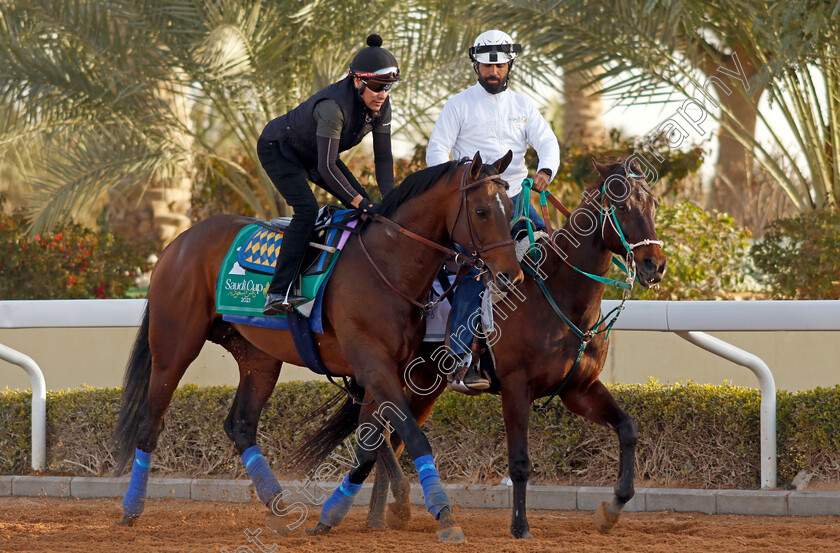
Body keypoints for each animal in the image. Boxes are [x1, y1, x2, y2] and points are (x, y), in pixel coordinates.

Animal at [108, 150, 520, 540]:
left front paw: (331, 516)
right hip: (174, 347)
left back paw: (278, 505)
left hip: (258, 357)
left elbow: (369, 443)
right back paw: (131, 509)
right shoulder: (374, 365)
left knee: (240, 424)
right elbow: (412, 438)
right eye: (481, 211)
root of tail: (177, 243)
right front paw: (444, 514)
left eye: (510, 206)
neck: (386, 265)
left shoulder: (384, 370)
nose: (510, 275)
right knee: (150, 422)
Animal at [296, 157, 668, 536]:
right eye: (622, 205)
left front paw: (612, 508)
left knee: (387, 434)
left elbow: (628, 429)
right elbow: (519, 461)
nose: (655, 264)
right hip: (386, 370)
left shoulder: (579, 388)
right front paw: (520, 526)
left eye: (653, 204)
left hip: (420, 384)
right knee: (380, 432)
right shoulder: (516, 386)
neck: (555, 293)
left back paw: (384, 514)